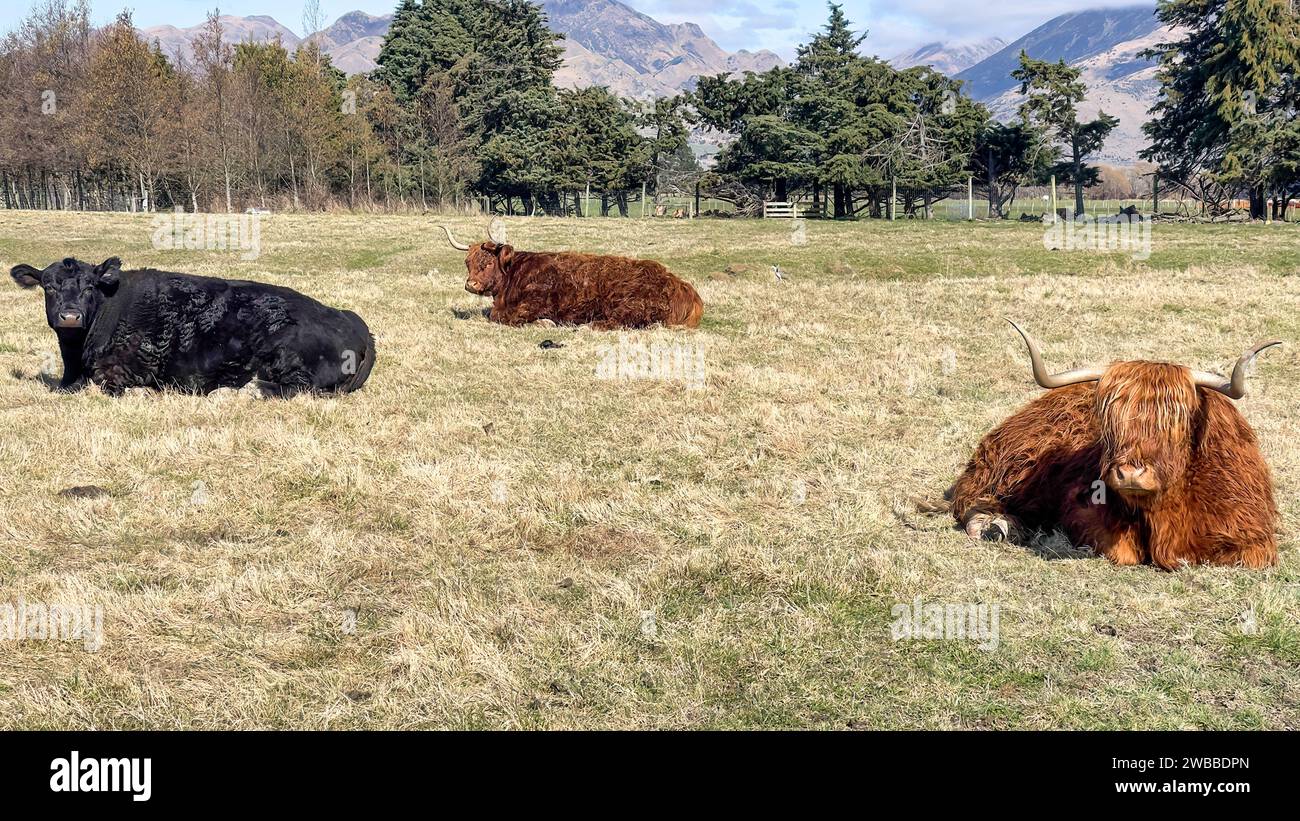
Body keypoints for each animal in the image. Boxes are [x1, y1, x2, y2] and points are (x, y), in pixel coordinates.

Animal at [10, 257, 375, 396]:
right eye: (49, 286)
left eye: (89, 287)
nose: (69, 316)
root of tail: (353, 322)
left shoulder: (118, 372)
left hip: (288, 357)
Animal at [440, 225, 703, 330]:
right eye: (467, 263)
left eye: (487, 263)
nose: (470, 285)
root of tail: (681, 285)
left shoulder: (534, 301)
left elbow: (501, 317)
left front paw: (544, 322)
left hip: (628, 303)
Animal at [946, 320, 1281, 569]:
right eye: (1110, 420)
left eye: (1175, 421)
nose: (1130, 474)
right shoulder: (1083, 509)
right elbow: (1122, 552)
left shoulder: (1253, 536)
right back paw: (997, 526)